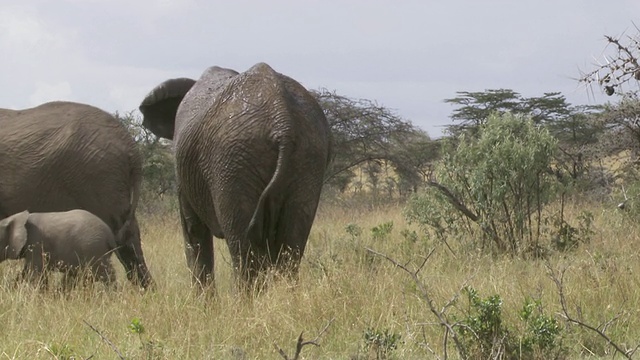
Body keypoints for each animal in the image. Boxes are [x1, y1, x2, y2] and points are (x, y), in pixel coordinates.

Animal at [138, 61, 332, 286]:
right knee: (291, 245)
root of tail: (283, 123)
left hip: (232, 161)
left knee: (244, 252)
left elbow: (193, 230)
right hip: (309, 158)